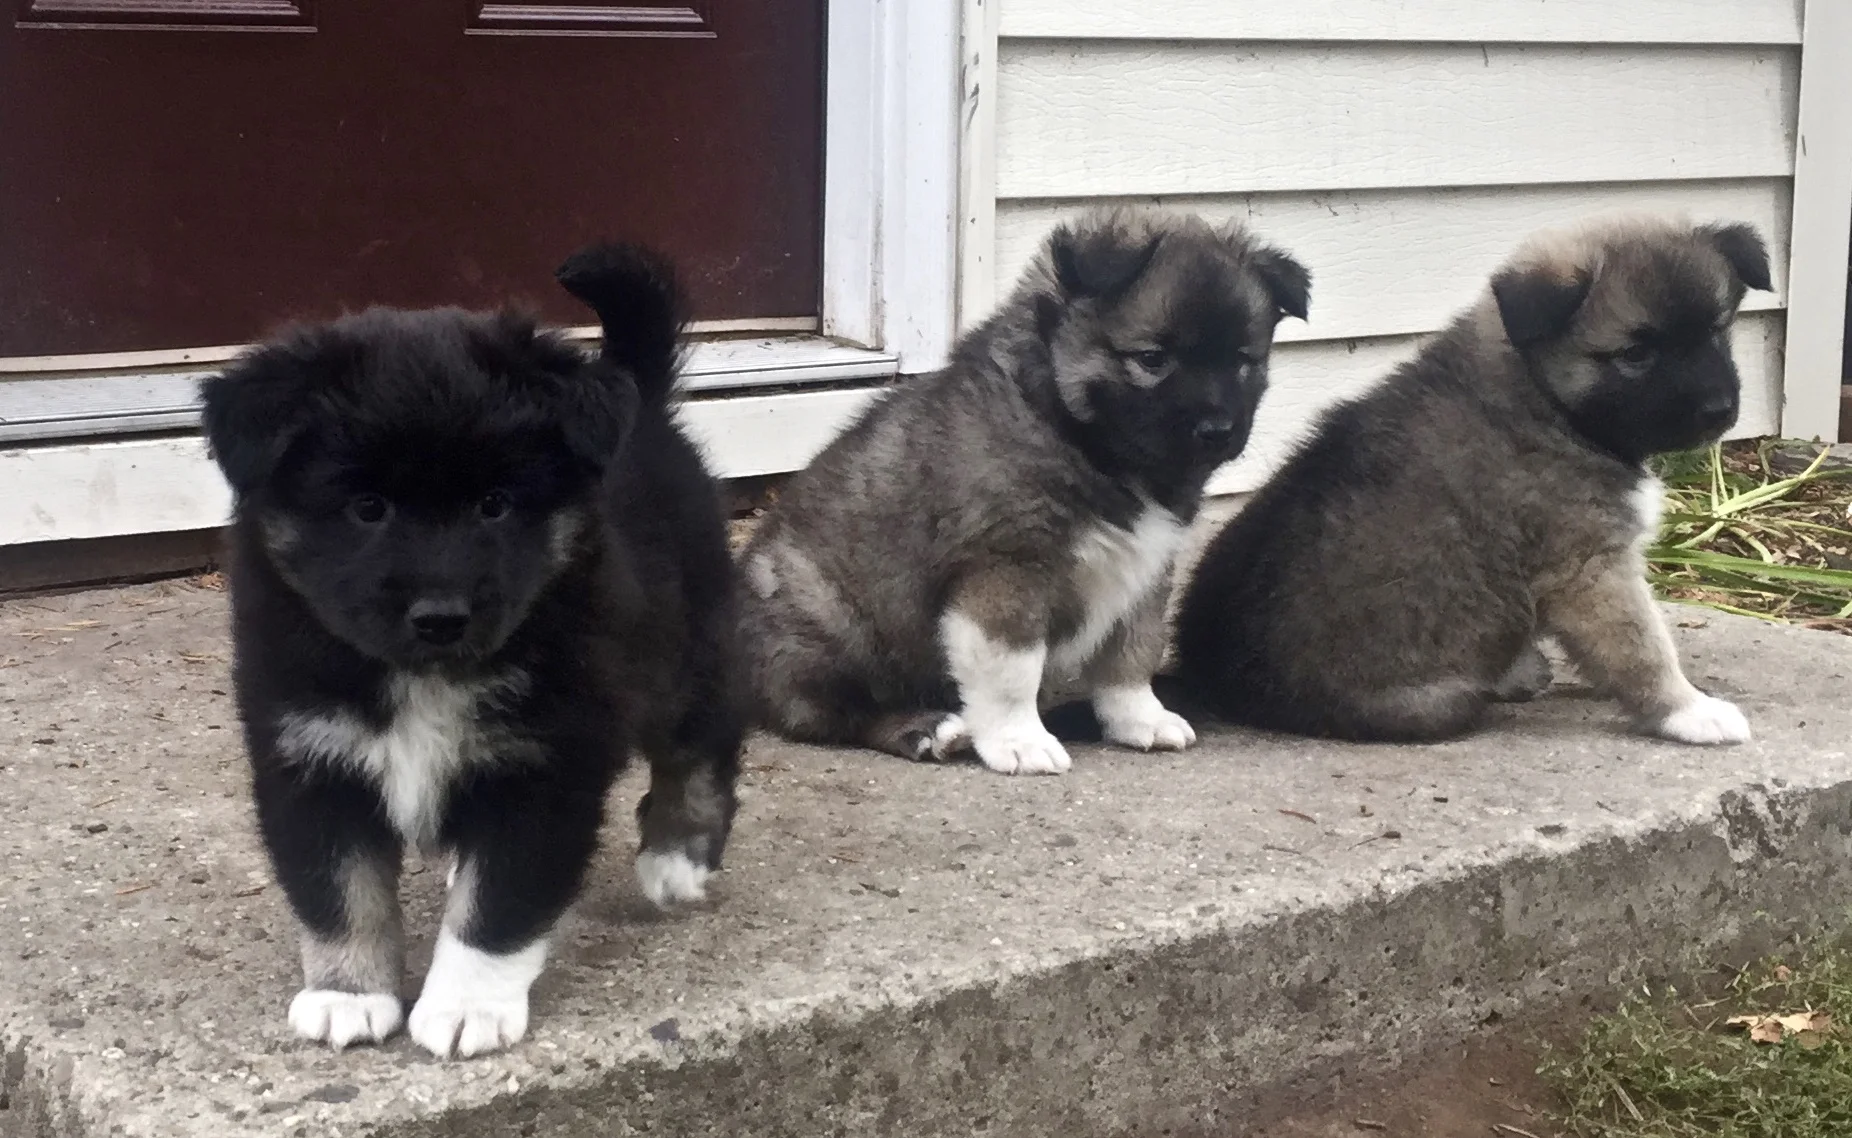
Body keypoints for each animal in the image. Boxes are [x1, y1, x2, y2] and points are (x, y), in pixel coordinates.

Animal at [199, 243, 742, 1058]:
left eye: (496, 504)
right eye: (367, 507)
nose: (441, 617)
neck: (421, 677)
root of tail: (642, 405)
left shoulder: (544, 769)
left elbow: (498, 904)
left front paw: (466, 1008)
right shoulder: (311, 757)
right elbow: (341, 891)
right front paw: (347, 994)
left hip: (687, 648)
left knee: (703, 743)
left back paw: (678, 855)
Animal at [739, 207, 1310, 774]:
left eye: (1243, 361)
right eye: (1152, 358)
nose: (1218, 430)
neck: (1077, 435)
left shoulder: (1145, 568)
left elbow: (1132, 651)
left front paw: (1139, 718)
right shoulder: (1007, 568)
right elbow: (1012, 670)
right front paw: (1019, 740)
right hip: (828, 619)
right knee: (832, 711)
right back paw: (928, 729)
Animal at [1171, 215, 1771, 745]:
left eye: (1718, 331)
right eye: (1636, 352)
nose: (1720, 410)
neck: (1545, 401)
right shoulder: (1588, 569)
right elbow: (1642, 648)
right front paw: (1688, 710)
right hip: (1440, 700)